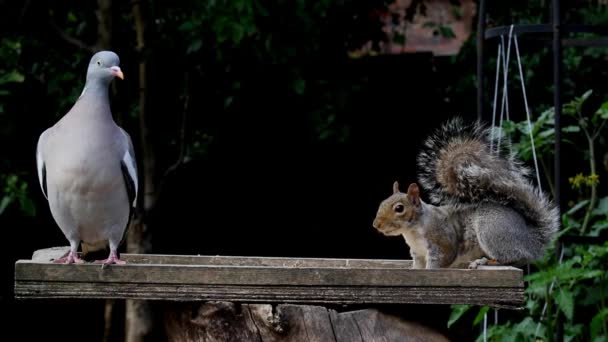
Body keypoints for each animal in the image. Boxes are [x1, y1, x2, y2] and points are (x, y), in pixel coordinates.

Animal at [372, 117, 564, 270]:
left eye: (399, 208)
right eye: (382, 203)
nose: (376, 225)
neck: (413, 230)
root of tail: (532, 241)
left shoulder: (442, 242)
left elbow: (439, 262)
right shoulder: (418, 254)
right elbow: (417, 267)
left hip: (492, 231)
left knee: (514, 257)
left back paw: (485, 262)